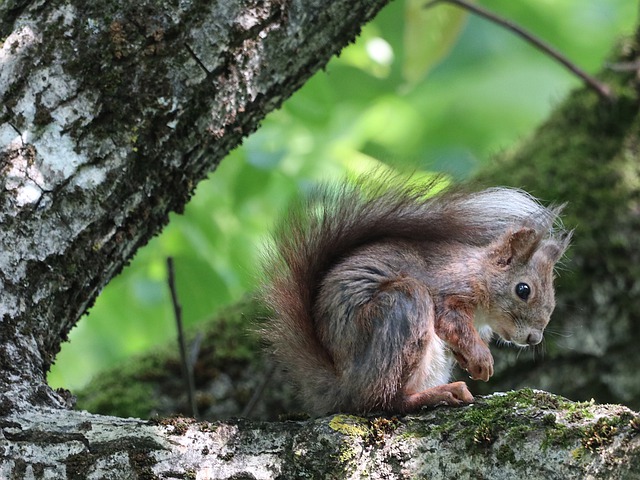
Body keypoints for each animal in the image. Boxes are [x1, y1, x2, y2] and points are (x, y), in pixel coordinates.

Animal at [260, 174, 568, 414]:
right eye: (523, 290)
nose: (534, 338)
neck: (479, 273)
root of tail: (345, 386)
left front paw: (471, 362)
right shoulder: (448, 289)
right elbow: (452, 322)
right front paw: (482, 358)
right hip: (404, 307)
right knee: (382, 401)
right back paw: (436, 395)